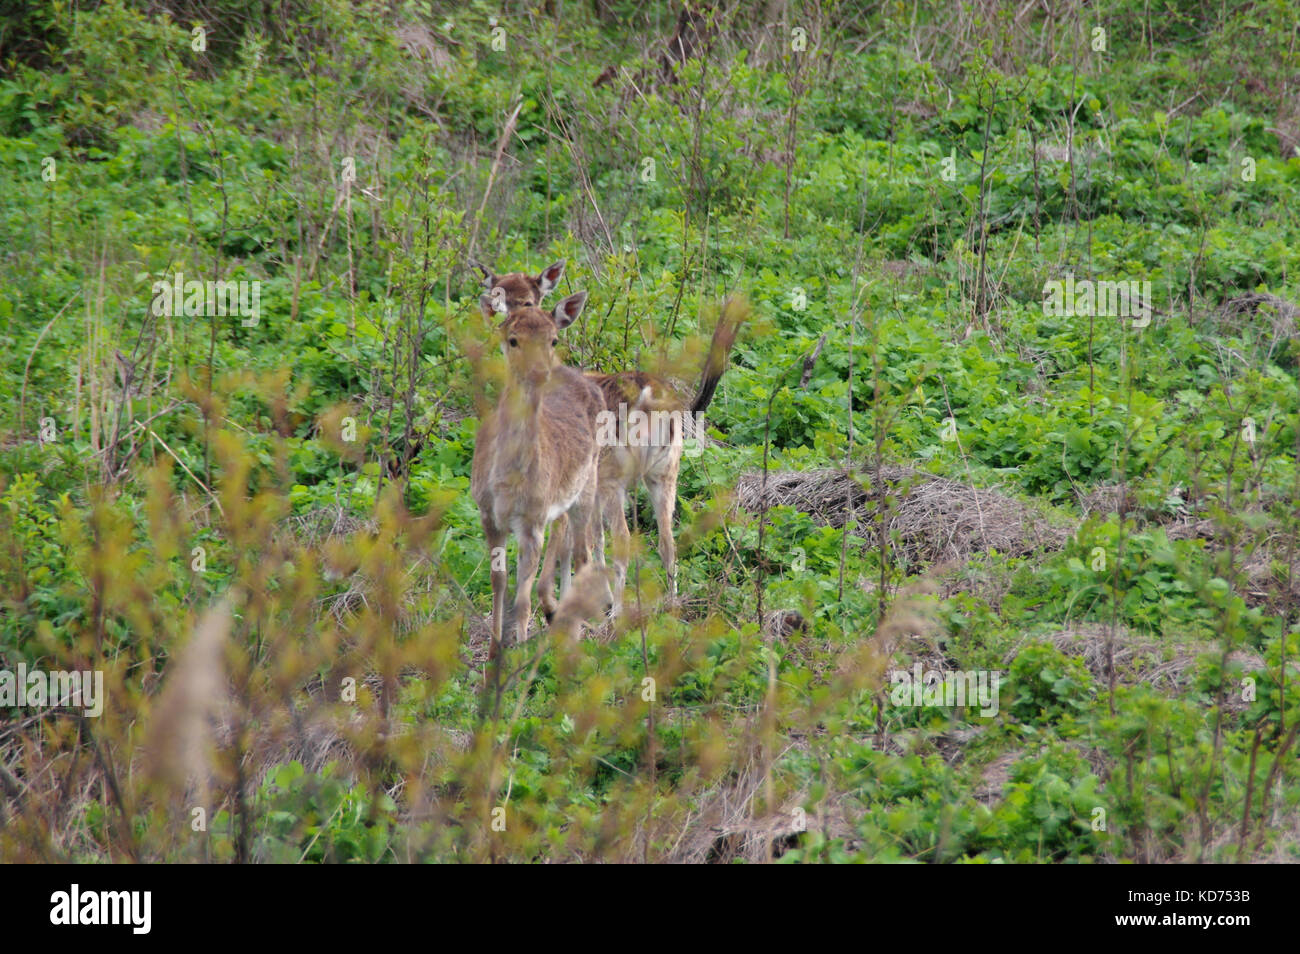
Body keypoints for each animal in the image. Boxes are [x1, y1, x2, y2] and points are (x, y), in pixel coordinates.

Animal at [470, 285, 611, 657]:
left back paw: (574, 628)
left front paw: (518, 653)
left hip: (588, 481)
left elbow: (521, 597)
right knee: (565, 537)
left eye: (553, 340)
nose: (538, 373)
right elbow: (499, 582)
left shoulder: (532, 521)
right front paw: (494, 652)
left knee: (583, 550)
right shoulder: (487, 514)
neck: (507, 482)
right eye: (513, 339)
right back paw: (556, 611)